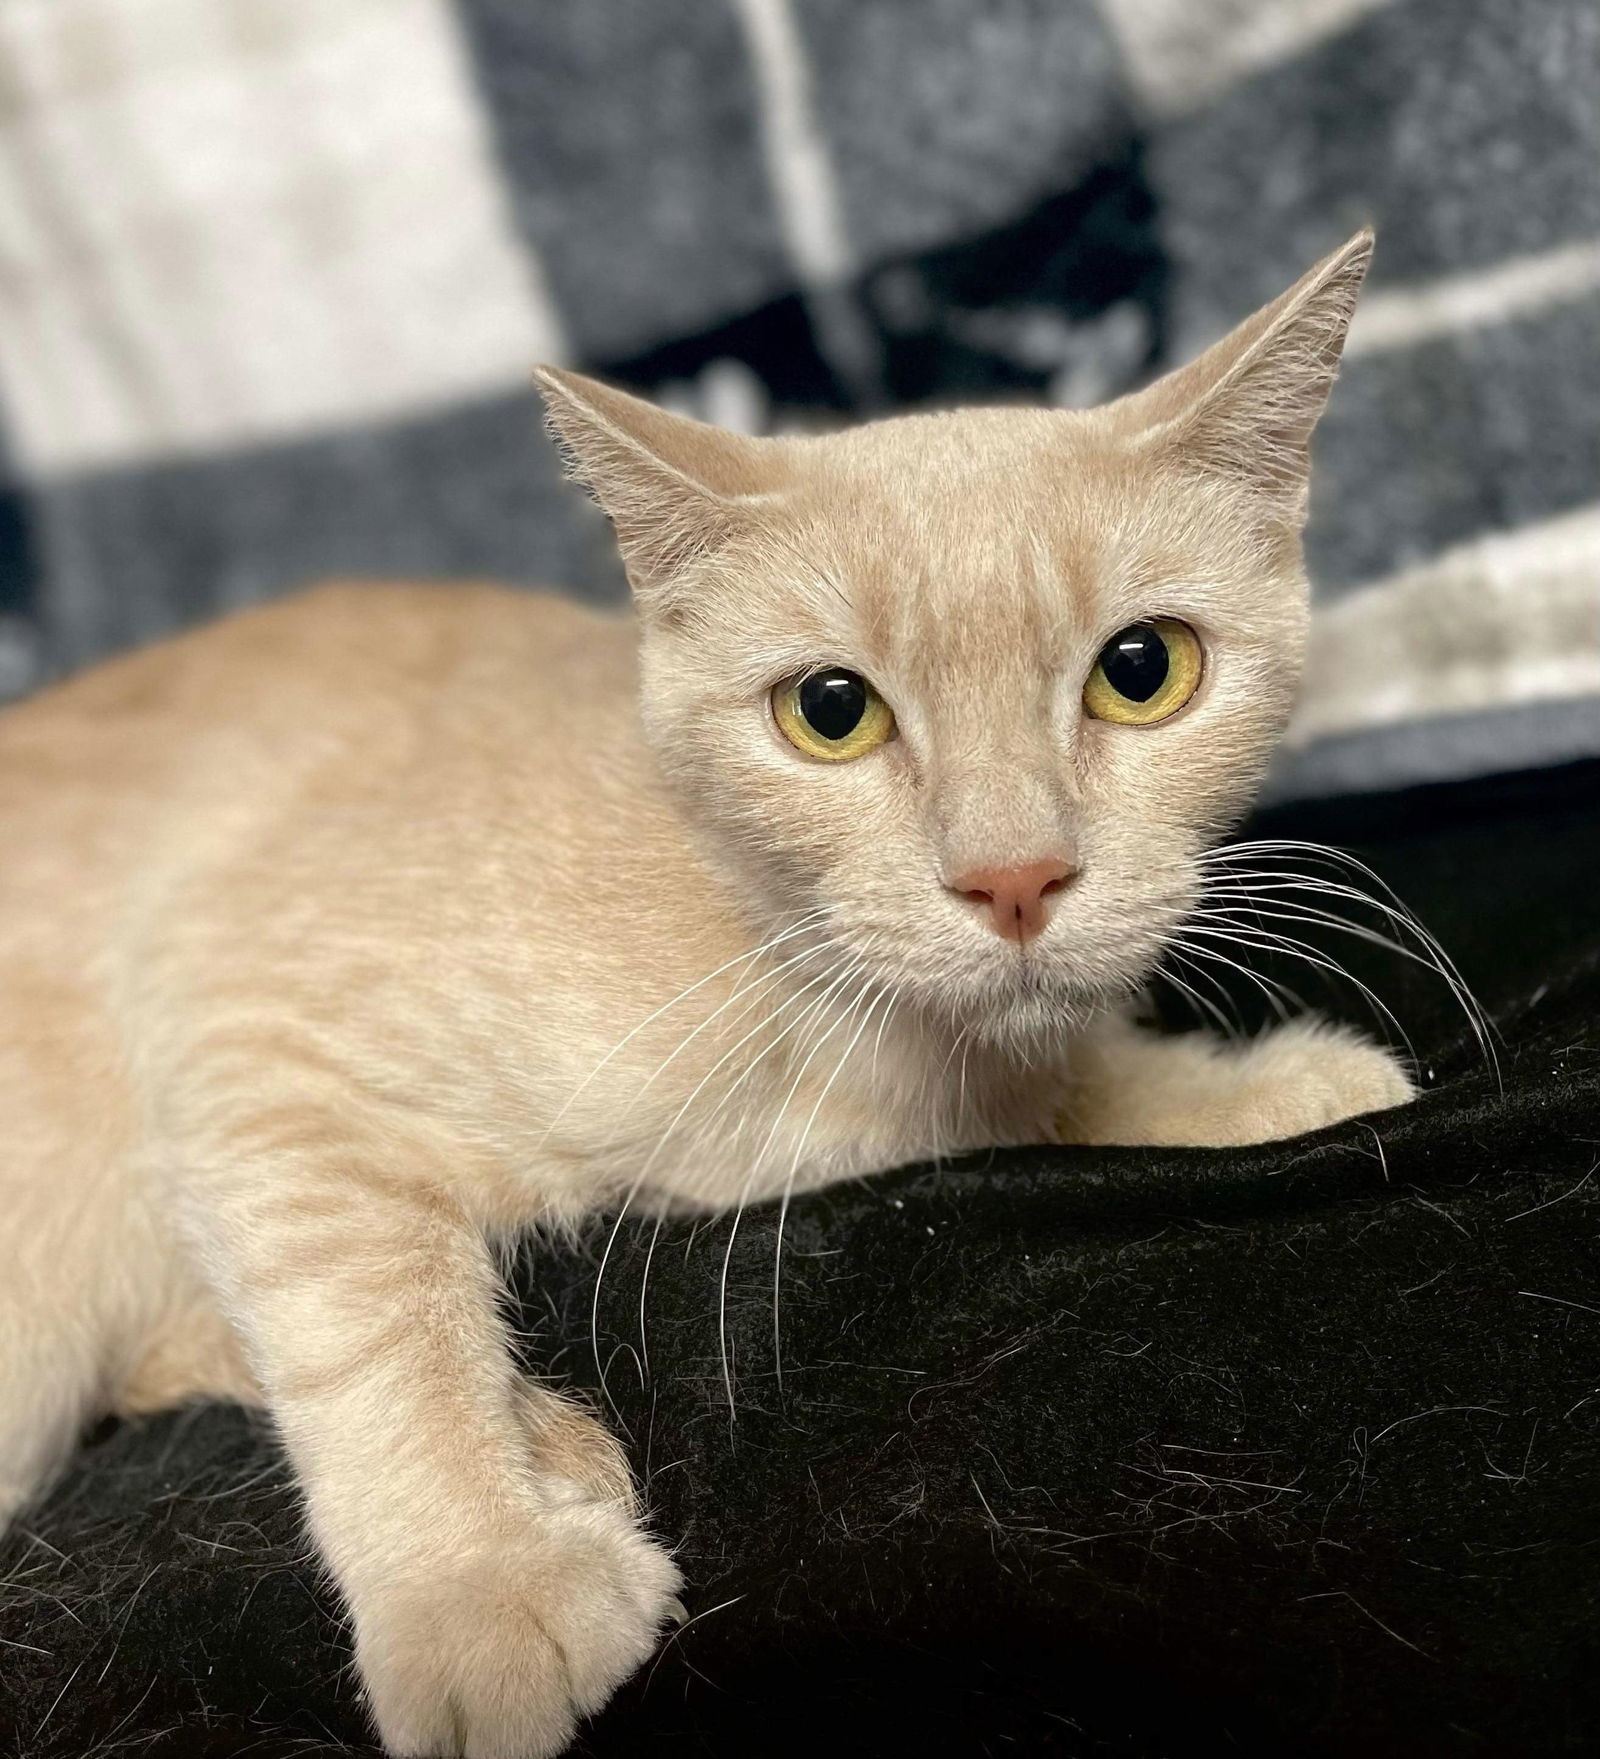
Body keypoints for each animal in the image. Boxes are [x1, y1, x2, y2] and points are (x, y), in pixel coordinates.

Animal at [0, 237, 1406, 1759]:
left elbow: (1056, 1081)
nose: (1015, 877)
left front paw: (1244, 1085)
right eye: (831, 710)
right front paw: (477, 1578)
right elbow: (363, 1314)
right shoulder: (242, 996)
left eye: (1144, 670)